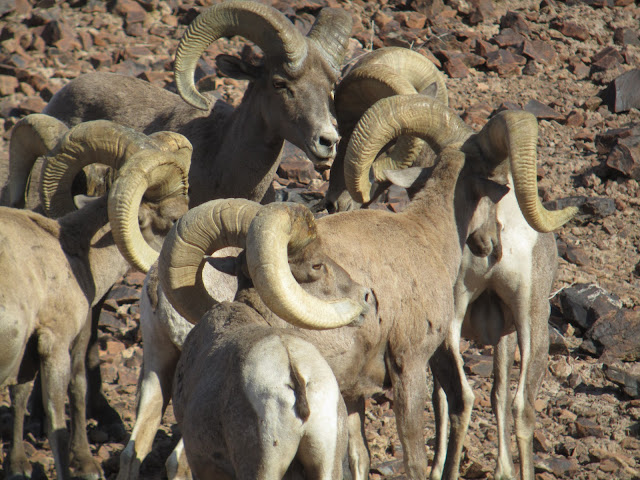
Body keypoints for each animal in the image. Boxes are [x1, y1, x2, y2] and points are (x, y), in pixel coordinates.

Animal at [0, 119, 192, 480]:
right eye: (174, 220)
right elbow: (56, 419)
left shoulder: (31, 352)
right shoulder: (55, 344)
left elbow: (25, 393)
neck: (69, 249)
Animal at [157, 95, 577, 480]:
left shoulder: (353, 392)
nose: (491, 246)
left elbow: (360, 459)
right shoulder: (410, 365)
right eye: (499, 186)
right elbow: (415, 457)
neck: (426, 234)